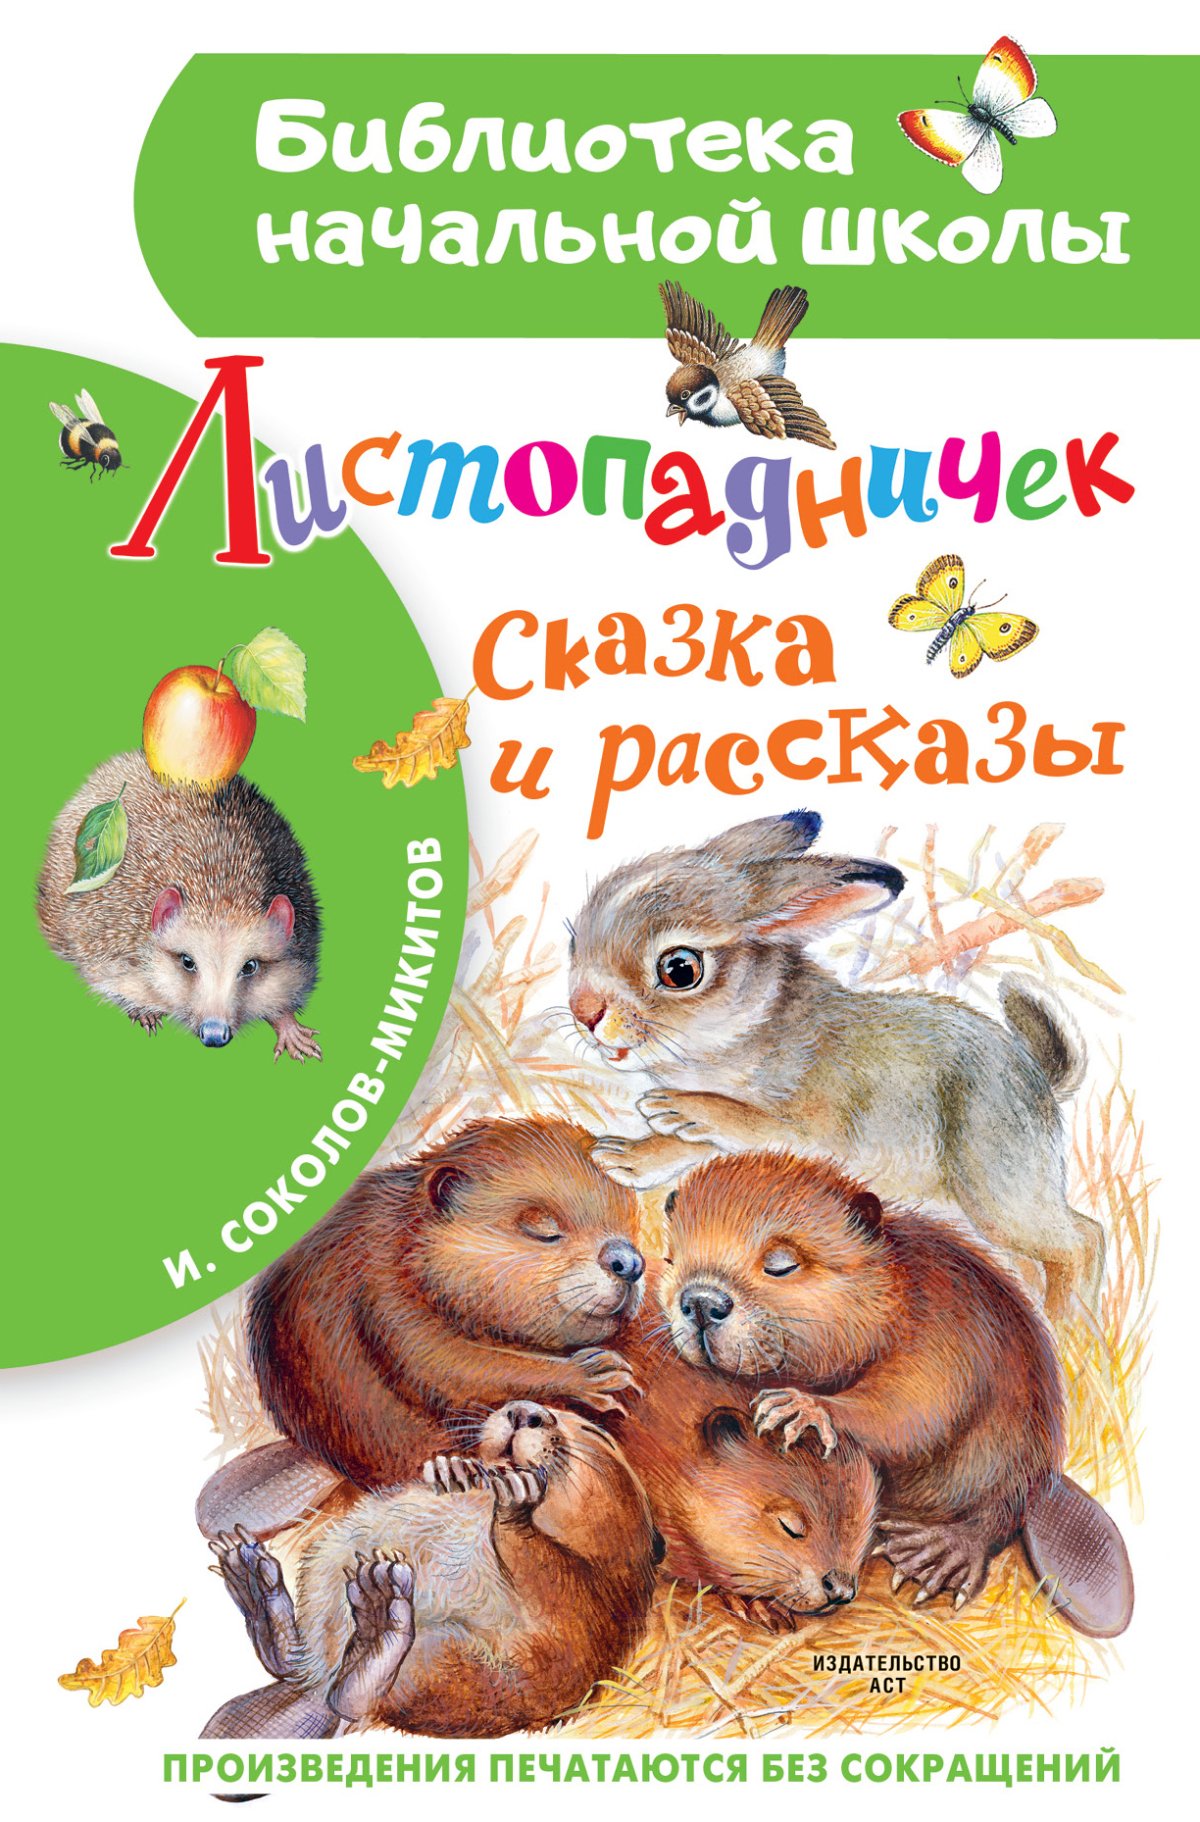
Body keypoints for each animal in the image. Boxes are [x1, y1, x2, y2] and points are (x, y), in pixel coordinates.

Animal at [565, 810, 1103, 1320]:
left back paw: (1062, 1321)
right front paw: (623, 1157)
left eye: (680, 969)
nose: (585, 1012)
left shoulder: (814, 1129)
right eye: (575, 942)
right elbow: (686, 1146)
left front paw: (678, 1108)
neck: (745, 1027)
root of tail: (1040, 1082)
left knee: (1079, 1241)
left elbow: (749, 1123)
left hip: (995, 1191)